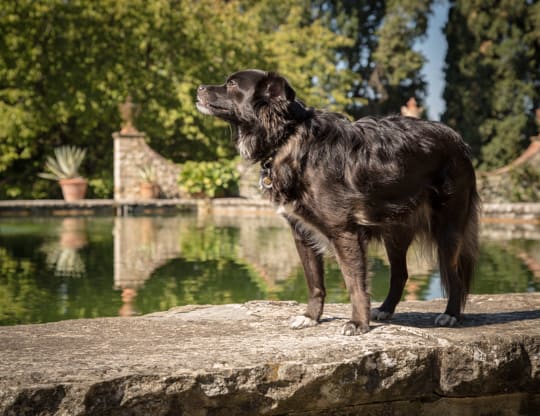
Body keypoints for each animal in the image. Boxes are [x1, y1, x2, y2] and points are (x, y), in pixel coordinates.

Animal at [196, 69, 478, 334]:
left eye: (232, 84)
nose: (198, 88)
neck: (288, 138)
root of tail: (458, 140)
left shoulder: (344, 232)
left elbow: (355, 284)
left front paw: (358, 323)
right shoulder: (302, 234)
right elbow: (315, 284)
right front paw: (311, 317)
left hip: (447, 229)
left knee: (455, 276)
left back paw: (451, 314)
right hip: (395, 232)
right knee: (400, 274)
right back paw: (385, 310)